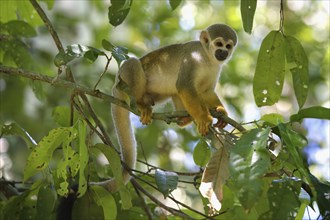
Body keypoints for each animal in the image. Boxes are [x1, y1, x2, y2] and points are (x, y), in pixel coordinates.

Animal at [107, 24, 236, 191]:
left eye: (228, 46)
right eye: (219, 44)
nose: (223, 53)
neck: (207, 58)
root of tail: (114, 89)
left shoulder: (215, 68)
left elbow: (205, 92)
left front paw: (221, 111)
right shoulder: (192, 58)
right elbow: (184, 86)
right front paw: (203, 118)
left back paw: (184, 118)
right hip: (122, 82)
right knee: (134, 63)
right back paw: (141, 104)